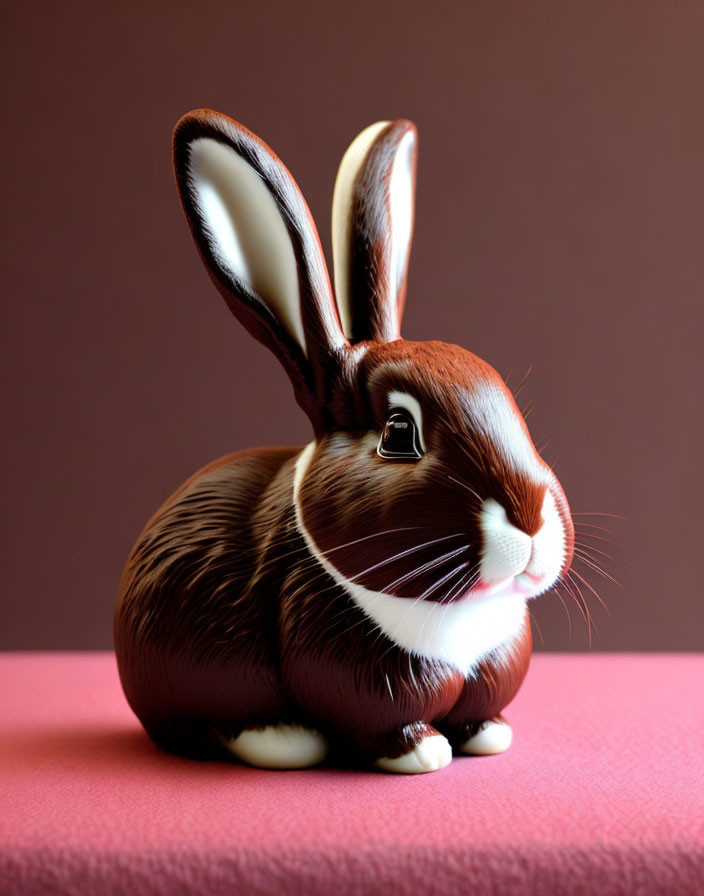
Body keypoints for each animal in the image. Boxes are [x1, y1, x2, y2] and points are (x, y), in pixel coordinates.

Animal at [115, 108, 576, 772]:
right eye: (399, 431)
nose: (532, 521)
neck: (456, 617)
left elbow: (480, 711)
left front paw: (488, 735)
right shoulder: (346, 666)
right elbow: (382, 723)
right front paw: (423, 752)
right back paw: (283, 739)